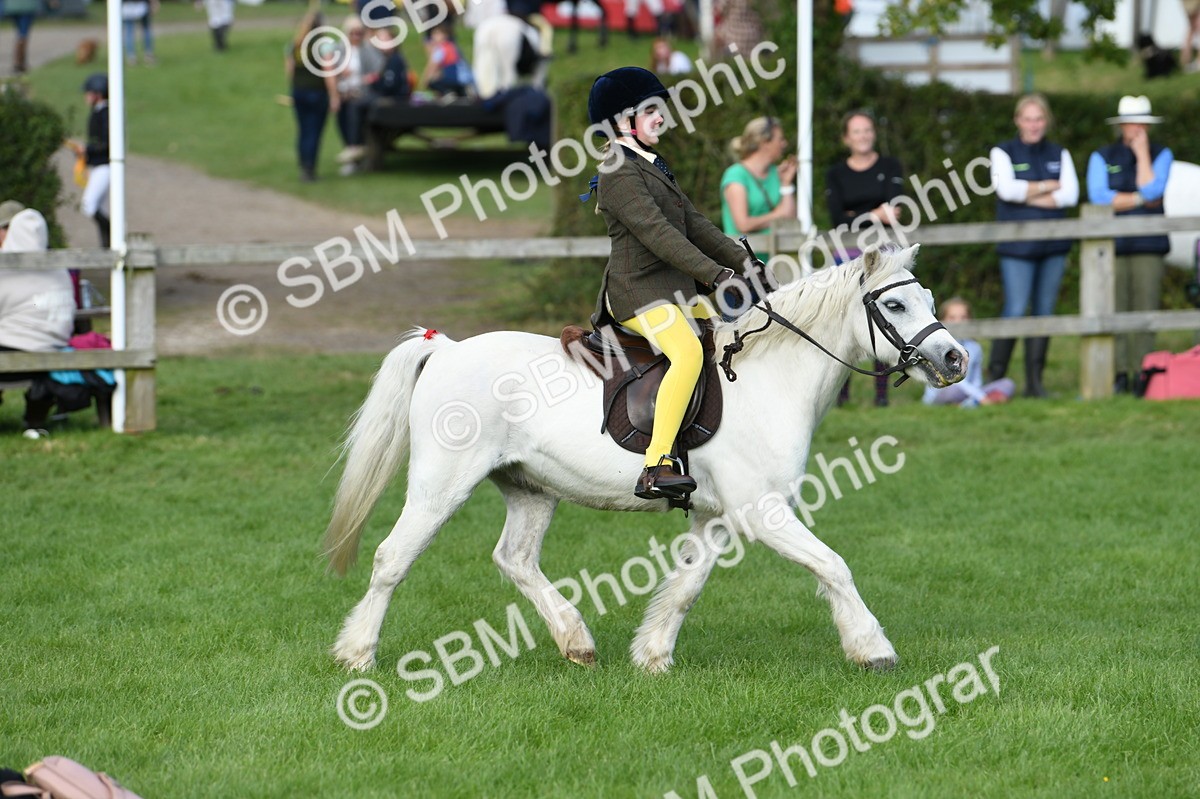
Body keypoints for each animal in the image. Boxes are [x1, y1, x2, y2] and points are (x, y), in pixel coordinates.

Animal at [323, 245, 967, 673]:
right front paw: (872, 648)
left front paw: (652, 656)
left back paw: (576, 641)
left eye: (929, 299)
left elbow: (685, 587)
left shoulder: (716, 517)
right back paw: (357, 655)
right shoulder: (763, 512)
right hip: (441, 485)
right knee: (392, 559)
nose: (955, 359)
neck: (770, 377)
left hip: (531, 488)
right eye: (897, 304)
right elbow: (833, 566)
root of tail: (449, 349)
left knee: (515, 560)